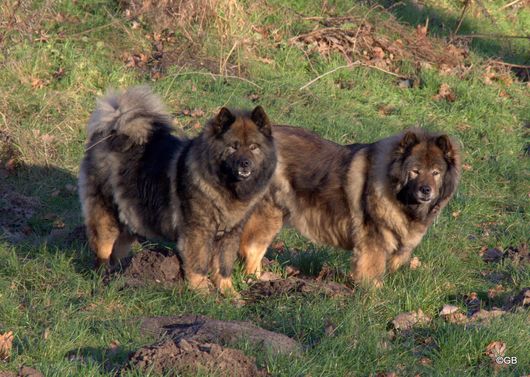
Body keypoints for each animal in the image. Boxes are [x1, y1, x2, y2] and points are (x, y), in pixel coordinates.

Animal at [79, 86, 278, 292]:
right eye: (233, 147)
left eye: (254, 147)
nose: (245, 163)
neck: (225, 187)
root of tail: (112, 131)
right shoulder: (198, 232)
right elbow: (199, 265)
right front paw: (202, 290)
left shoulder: (230, 234)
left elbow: (223, 267)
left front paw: (229, 293)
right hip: (106, 217)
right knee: (103, 250)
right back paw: (103, 278)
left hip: (129, 217)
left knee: (116, 251)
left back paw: (119, 275)